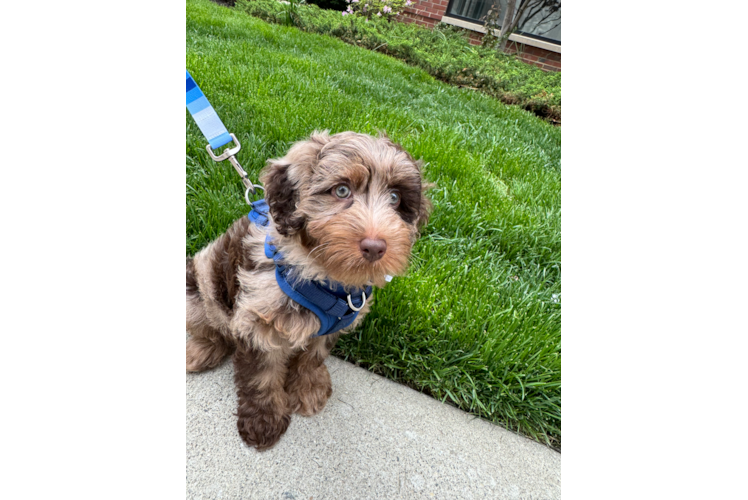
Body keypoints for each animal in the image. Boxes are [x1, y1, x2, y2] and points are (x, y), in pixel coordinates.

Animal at [186, 131, 432, 452]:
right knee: (207, 324)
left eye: (395, 198)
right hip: (200, 282)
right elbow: (261, 375)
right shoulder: (257, 322)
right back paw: (201, 350)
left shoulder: (332, 326)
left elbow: (313, 357)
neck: (325, 276)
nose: (376, 247)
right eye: (341, 190)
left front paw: (308, 389)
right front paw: (263, 420)